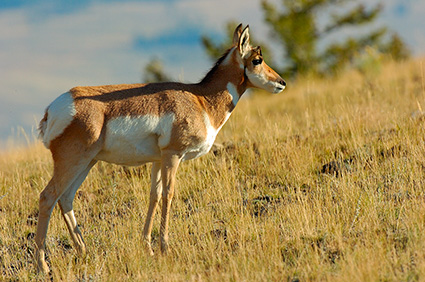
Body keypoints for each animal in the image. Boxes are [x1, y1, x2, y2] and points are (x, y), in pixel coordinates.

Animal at [35, 24, 284, 274]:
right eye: (257, 59)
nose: (281, 82)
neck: (200, 100)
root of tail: (53, 109)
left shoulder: (157, 160)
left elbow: (153, 196)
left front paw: (148, 248)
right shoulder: (172, 155)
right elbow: (168, 194)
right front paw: (165, 248)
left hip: (87, 163)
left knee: (66, 198)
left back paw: (84, 252)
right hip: (73, 161)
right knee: (48, 196)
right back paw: (43, 266)